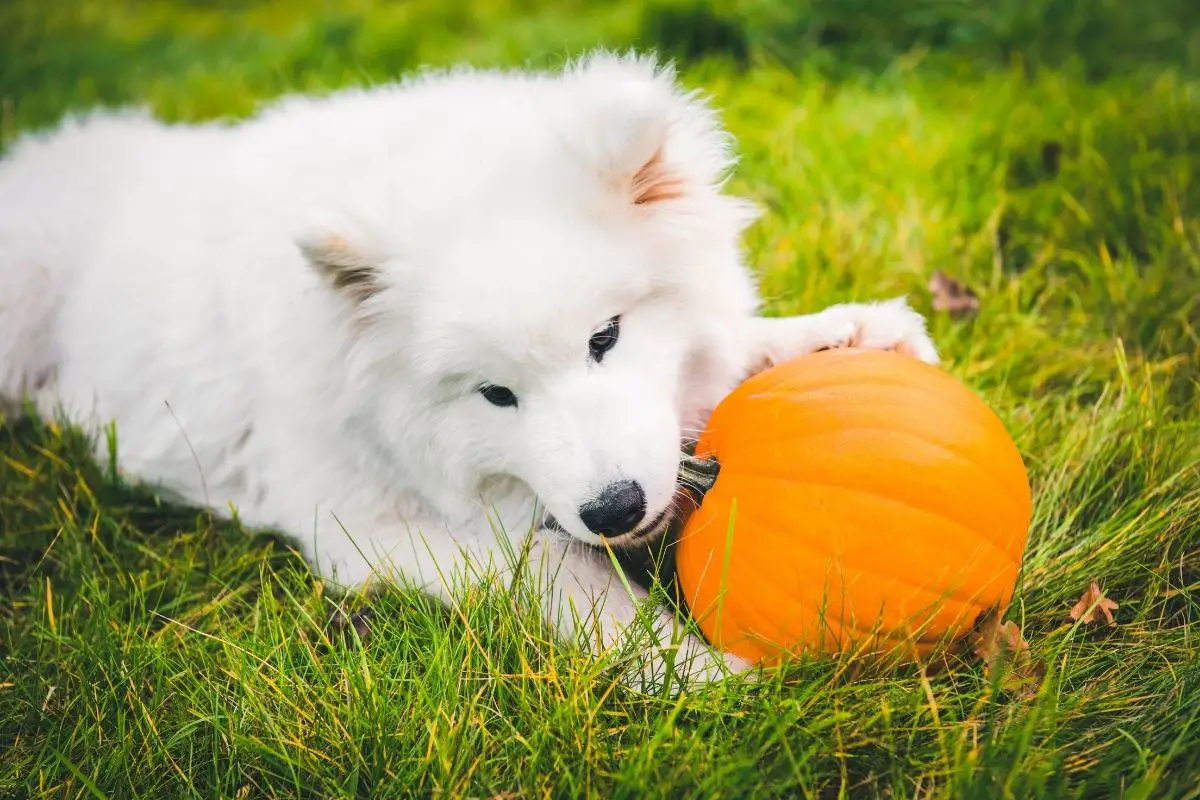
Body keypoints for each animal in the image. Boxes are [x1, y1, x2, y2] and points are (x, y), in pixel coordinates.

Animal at [0, 51, 936, 690]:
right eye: (496, 395)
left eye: (605, 338)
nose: (614, 509)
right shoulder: (365, 525)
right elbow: (561, 577)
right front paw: (692, 672)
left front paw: (851, 335)